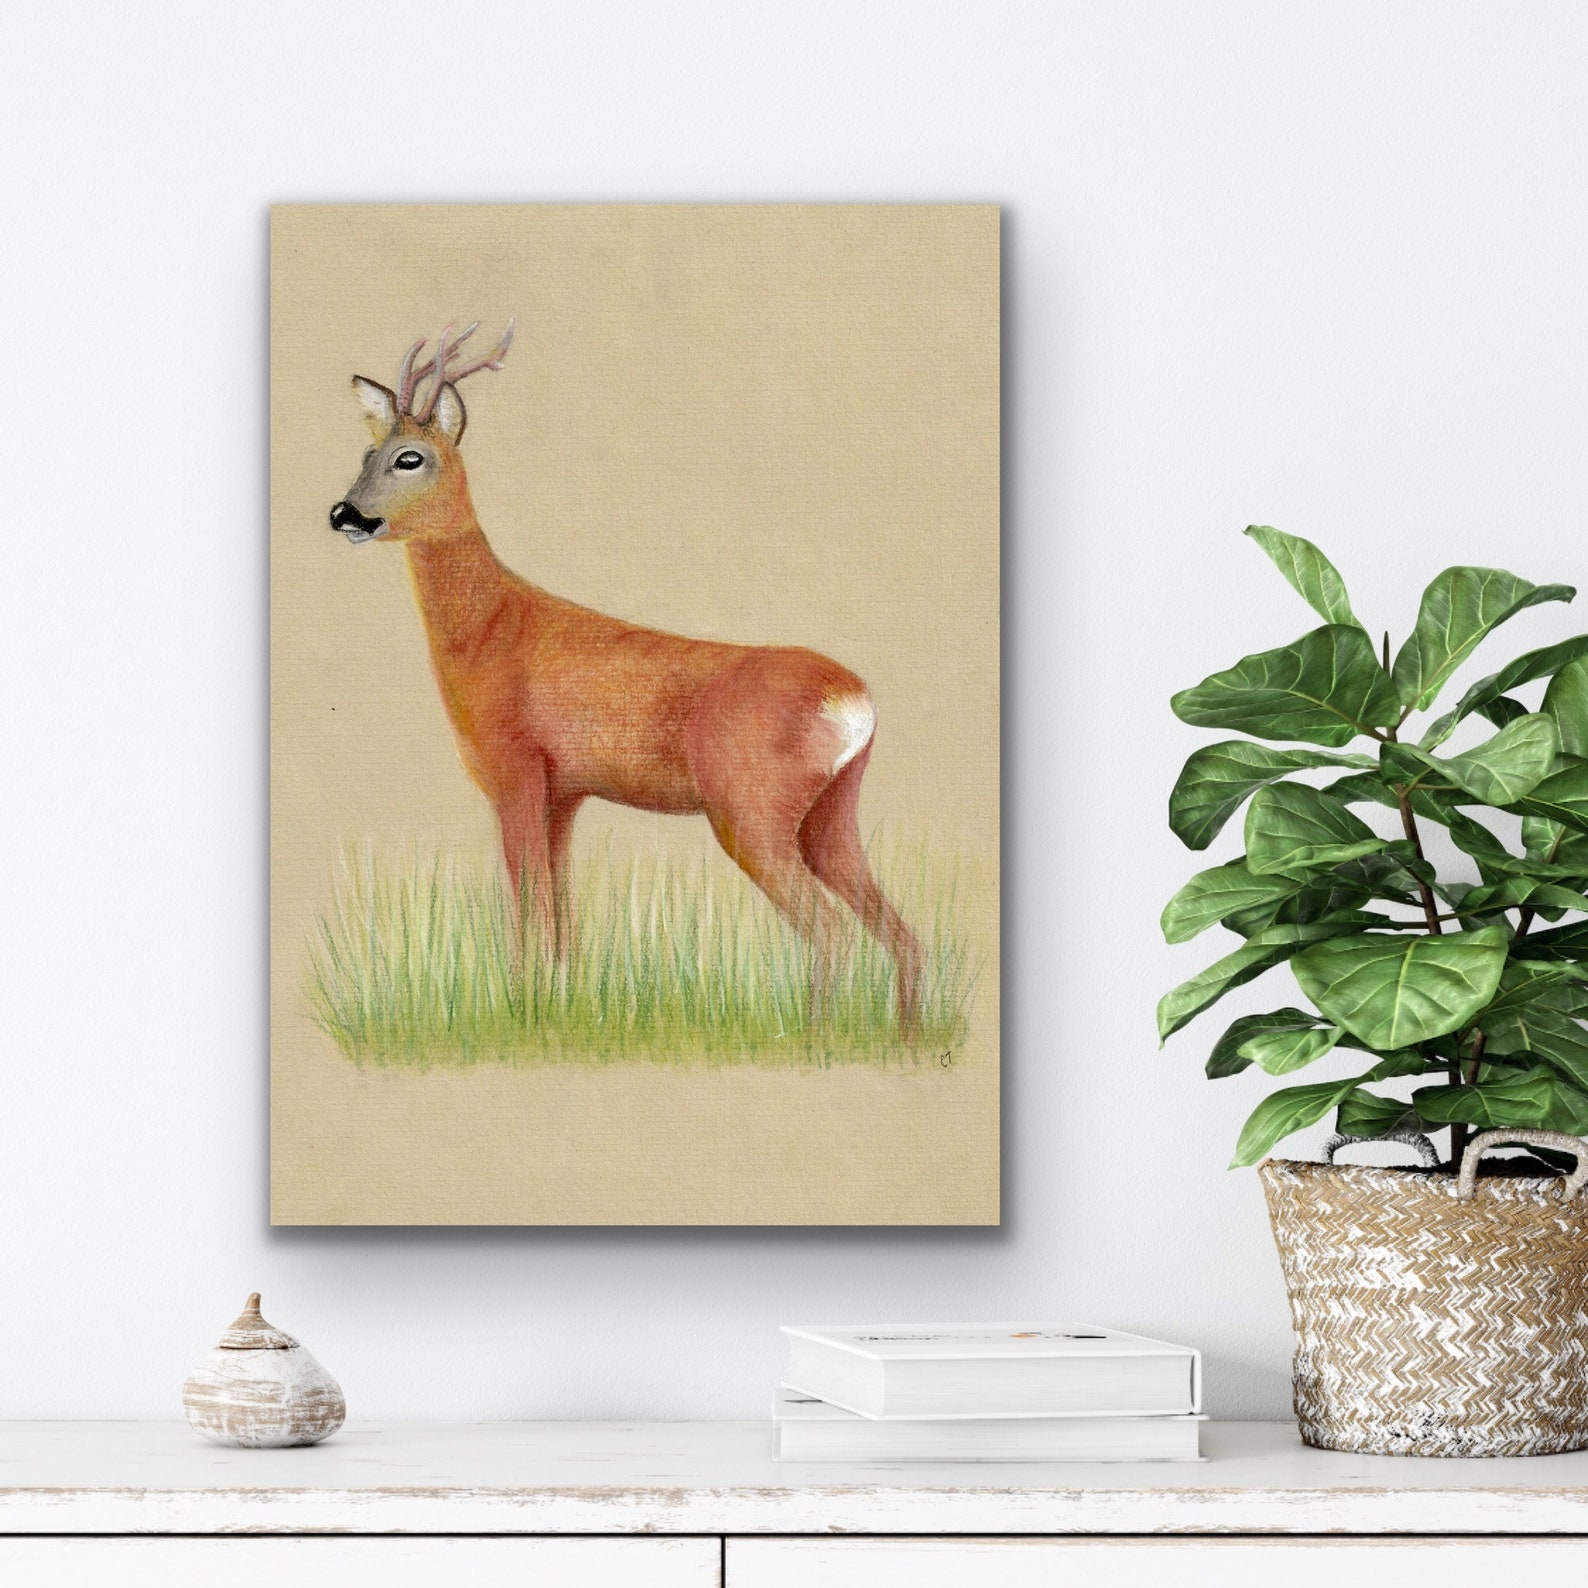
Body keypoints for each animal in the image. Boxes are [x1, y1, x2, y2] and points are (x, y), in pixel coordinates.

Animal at [328, 321, 922, 1031]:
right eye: (367, 452)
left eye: (409, 458)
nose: (344, 514)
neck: (492, 630)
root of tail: (855, 699)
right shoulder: (564, 794)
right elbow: (563, 921)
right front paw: (559, 1009)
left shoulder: (516, 773)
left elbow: (527, 910)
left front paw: (521, 1011)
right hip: (831, 813)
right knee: (904, 935)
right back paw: (906, 1039)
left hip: (751, 811)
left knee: (830, 931)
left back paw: (815, 1039)